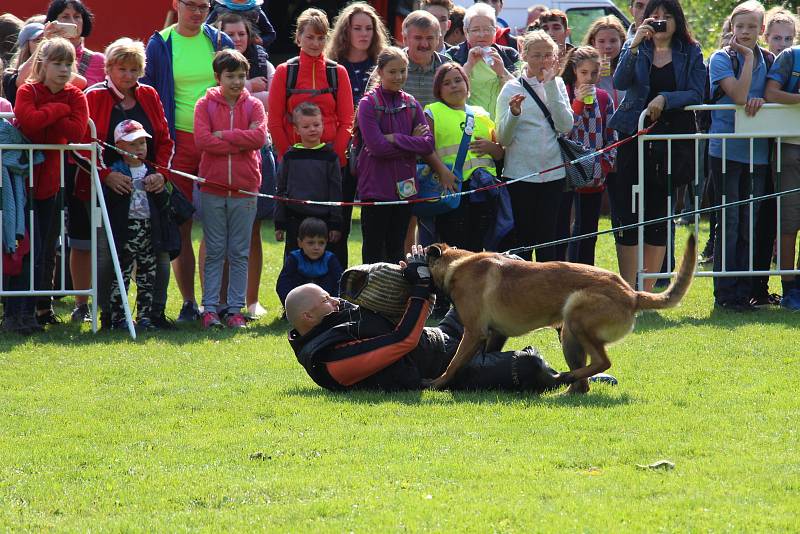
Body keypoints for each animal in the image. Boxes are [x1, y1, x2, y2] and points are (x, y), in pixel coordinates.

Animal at [424, 234, 692, 394]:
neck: (456, 264)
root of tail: (632, 294)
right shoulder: (496, 334)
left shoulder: (474, 332)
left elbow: (453, 363)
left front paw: (436, 383)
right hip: (569, 338)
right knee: (584, 384)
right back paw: (566, 385)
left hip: (575, 317)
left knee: (602, 362)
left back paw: (565, 376)